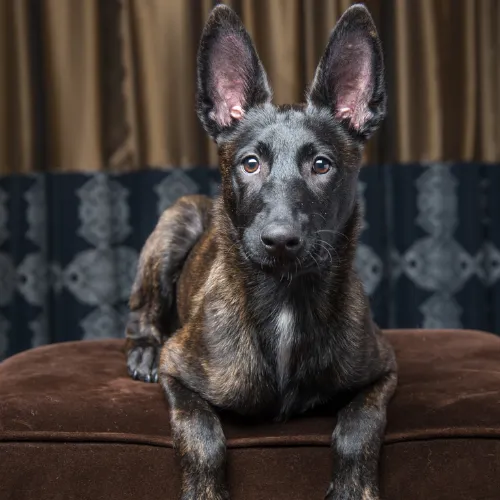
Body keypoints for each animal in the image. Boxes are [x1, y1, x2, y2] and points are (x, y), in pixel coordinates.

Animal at [126, 4, 398, 500]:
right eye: (250, 164)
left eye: (321, 165)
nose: (280, 239)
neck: (286, 300)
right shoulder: (178, 368)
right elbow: (200, 432)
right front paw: (205, 490)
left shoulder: (384, 367)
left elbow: (360, 423)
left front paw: (353, 487)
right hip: (177, 219)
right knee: (141, 311)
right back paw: (141, 350)